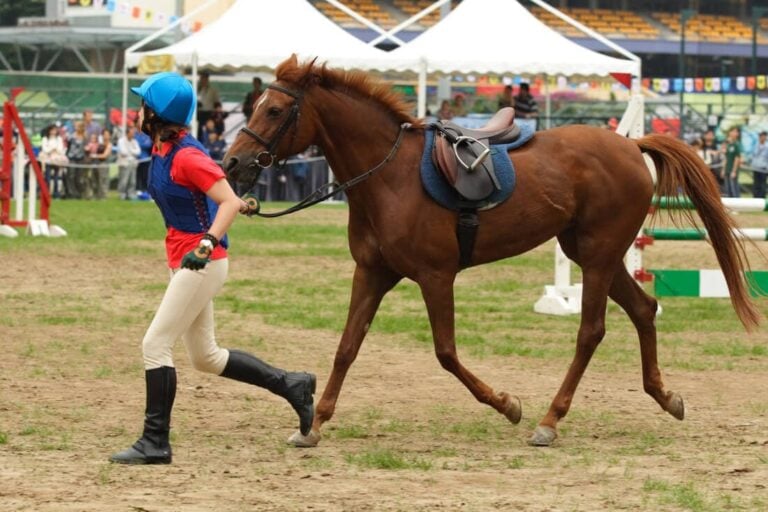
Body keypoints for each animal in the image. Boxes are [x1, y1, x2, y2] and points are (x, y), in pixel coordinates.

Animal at [224, 54, 761, 447]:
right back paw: (664, 397)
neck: (389, 174)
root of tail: (631, 147)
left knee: (591, 331)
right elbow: (348, 346)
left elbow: (445, 353)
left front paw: (508, 405)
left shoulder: (436, 276)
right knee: (645, 309)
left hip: (599, 255)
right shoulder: (373, 273)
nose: (231, 163)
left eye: (274, 110)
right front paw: (313, 423)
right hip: (594, 254)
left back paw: (549, 420)